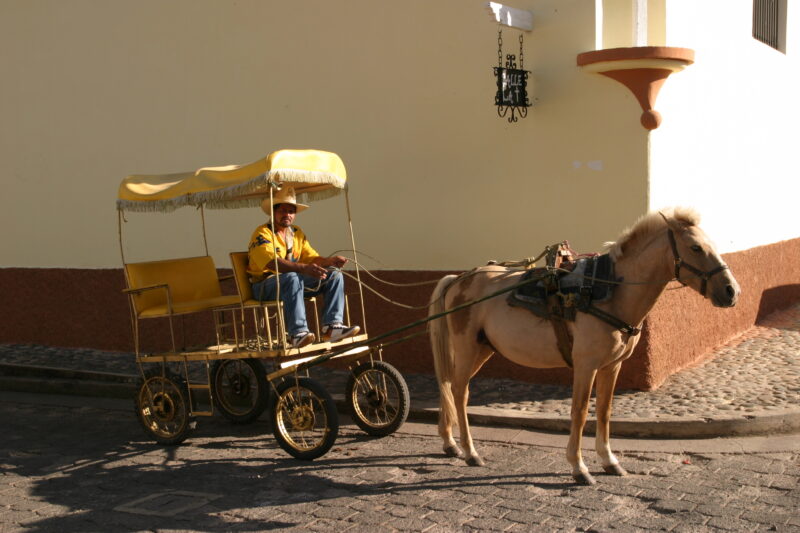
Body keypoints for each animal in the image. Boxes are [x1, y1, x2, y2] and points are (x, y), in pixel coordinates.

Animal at [428, 207, 740, 485]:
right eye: (695, 247)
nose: (732, 291)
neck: (609, 291)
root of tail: (459, 279)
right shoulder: (585, 365)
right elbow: (578, 412)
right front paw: (579, 468)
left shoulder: (612, 366)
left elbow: (604, 411)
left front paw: (609, 461)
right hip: (467, 348)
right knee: (459, 390)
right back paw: (470, 452)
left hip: (482, 349)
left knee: (449, 385)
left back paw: (450, 444)